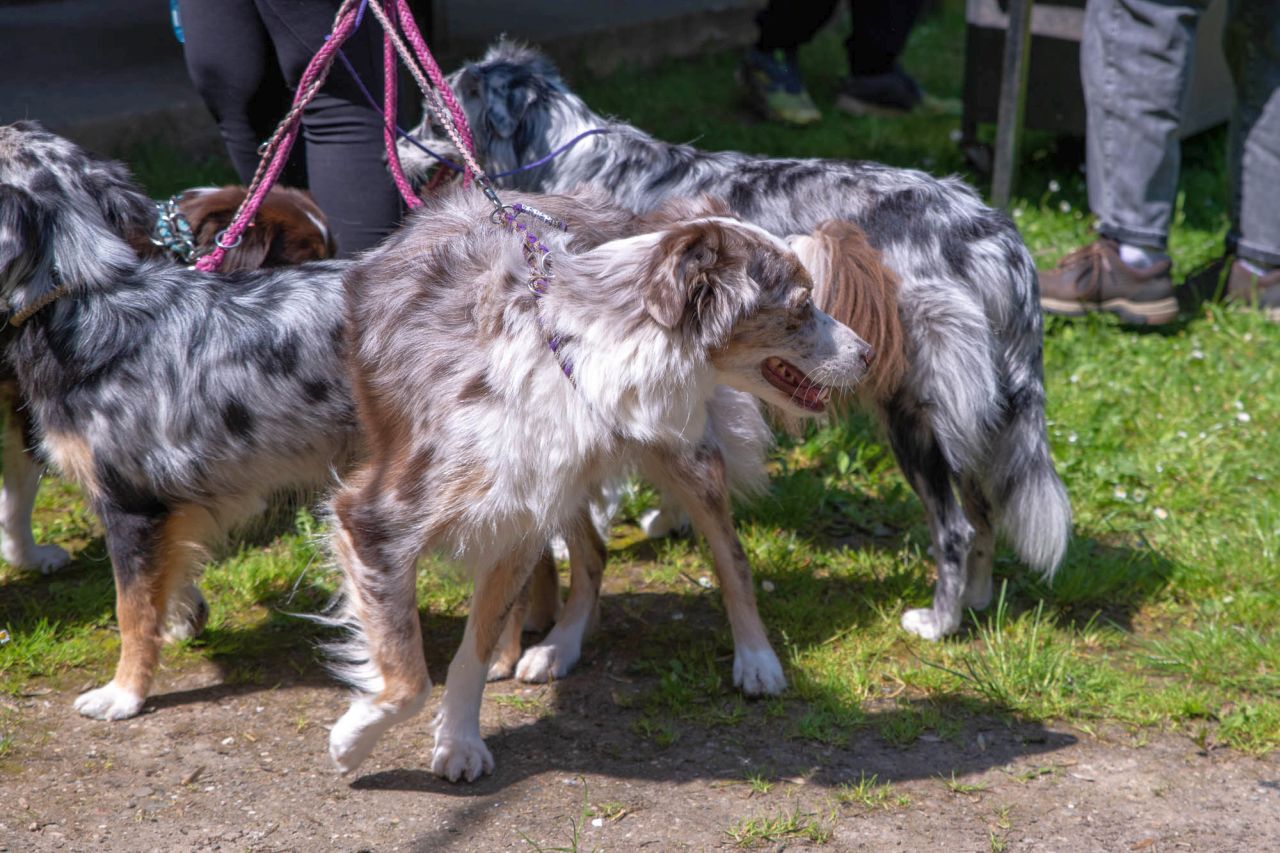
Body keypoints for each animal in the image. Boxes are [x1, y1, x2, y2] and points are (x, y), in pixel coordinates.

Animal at [325, 184, 875, 778]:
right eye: (799, 307)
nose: (869, 355)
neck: (573, 350)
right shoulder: (381, 519)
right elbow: (413, 676)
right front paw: (365, 739)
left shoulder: (522, 518)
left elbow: (465, 653)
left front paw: (450, 740)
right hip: (564, 481)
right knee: (592, 552)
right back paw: (557, 645)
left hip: (679, 458)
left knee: (728, 558)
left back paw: (752, 659)